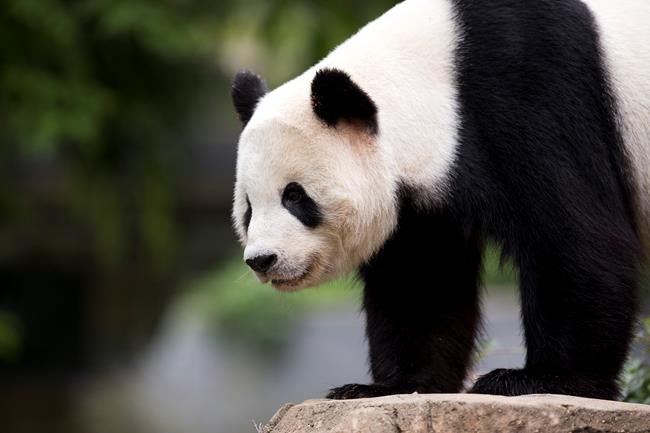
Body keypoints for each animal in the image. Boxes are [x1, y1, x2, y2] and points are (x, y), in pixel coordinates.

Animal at [230, 0, 650, 400]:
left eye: (294, 196)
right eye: (248, 208)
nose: (263, 260)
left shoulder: (535, 93)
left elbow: (574, 238)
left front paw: (543, 379)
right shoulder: (425, 198)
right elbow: (423, 279)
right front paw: (392, 385)